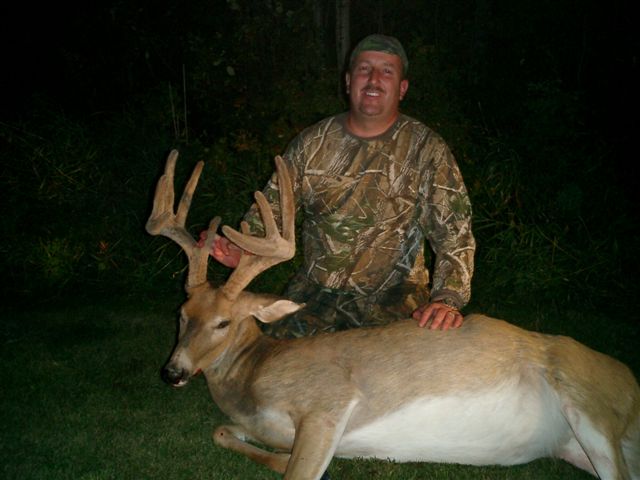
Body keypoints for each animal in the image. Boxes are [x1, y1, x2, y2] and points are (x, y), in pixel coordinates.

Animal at [146, 149, 640, 480]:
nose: (172, 372)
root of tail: (632, 385)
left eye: (223, 322)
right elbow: (223, 433)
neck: (254, 376)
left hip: (586, 403)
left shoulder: (328, 403)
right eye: (182, 313)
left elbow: (296, 471)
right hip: (579, 446)